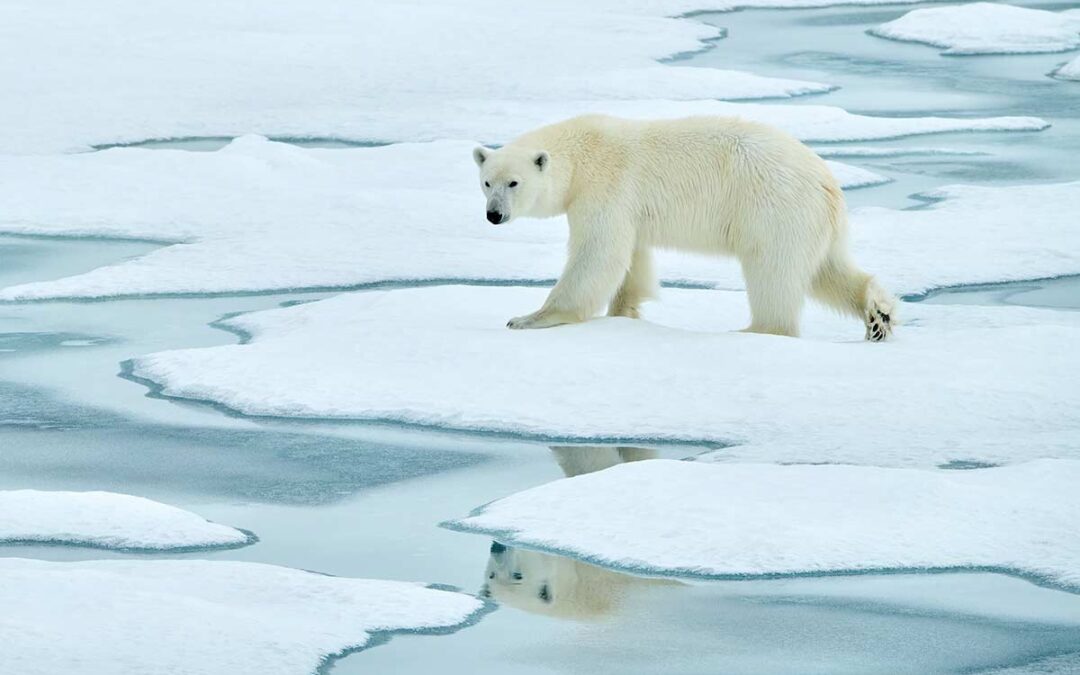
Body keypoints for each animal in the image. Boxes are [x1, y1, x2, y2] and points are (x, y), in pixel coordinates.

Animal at [473, 114, 895, 340]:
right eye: (486, 182)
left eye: (514, 183)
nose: (494, 215)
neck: (581, 154)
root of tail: (828, 182)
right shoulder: (630, 208)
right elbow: (632, 260)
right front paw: (623, 313)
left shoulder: (605, 188)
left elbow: (597, 254)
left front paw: (528, 317)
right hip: (809, 220)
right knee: (826, 270)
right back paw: (878, 315)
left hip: (773, 207)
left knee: (772, 272)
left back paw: (756, 329)